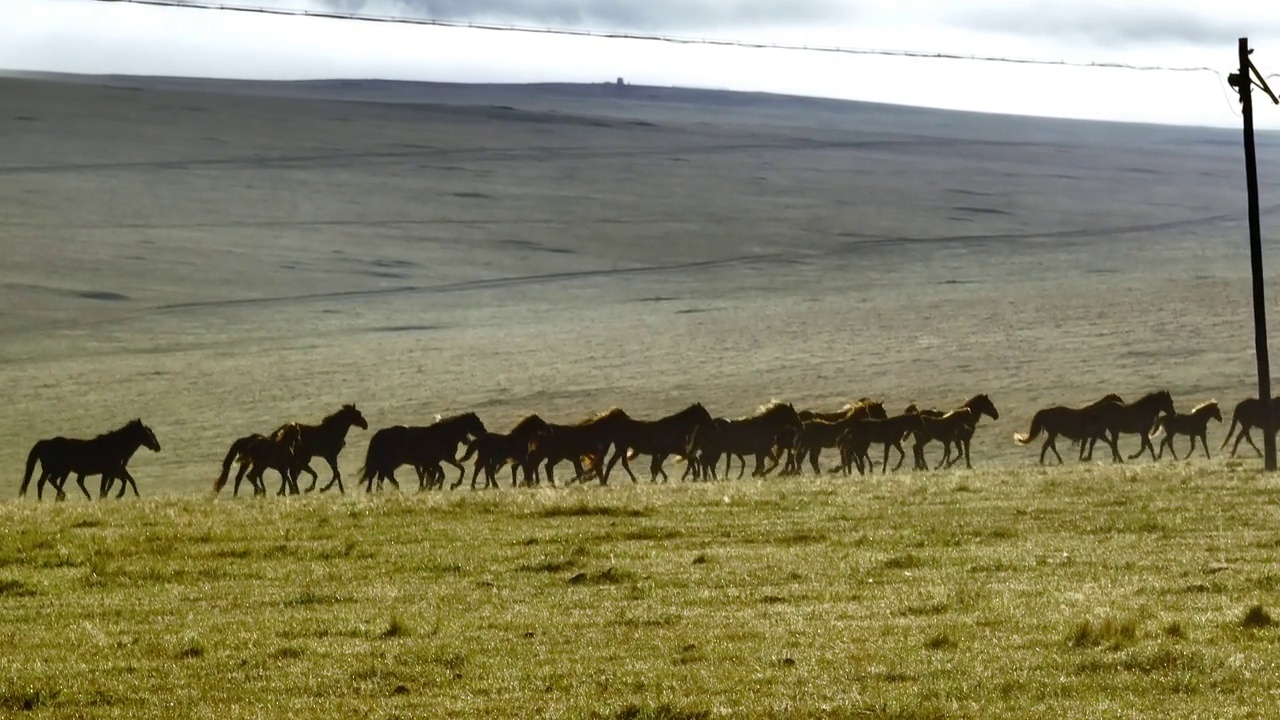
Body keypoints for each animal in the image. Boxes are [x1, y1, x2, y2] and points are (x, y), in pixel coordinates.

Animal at [360, 412, 488, 489]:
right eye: (479, 424)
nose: (486, 434)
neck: (444, 435)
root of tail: (381, 434)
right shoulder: (444, 459)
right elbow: (455, 470)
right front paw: (452, 485)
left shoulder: (436, 461)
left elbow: (441, 473)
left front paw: (437, 486)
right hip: (392, 461)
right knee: (385, 474)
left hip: (392, 462)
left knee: (384, 475)